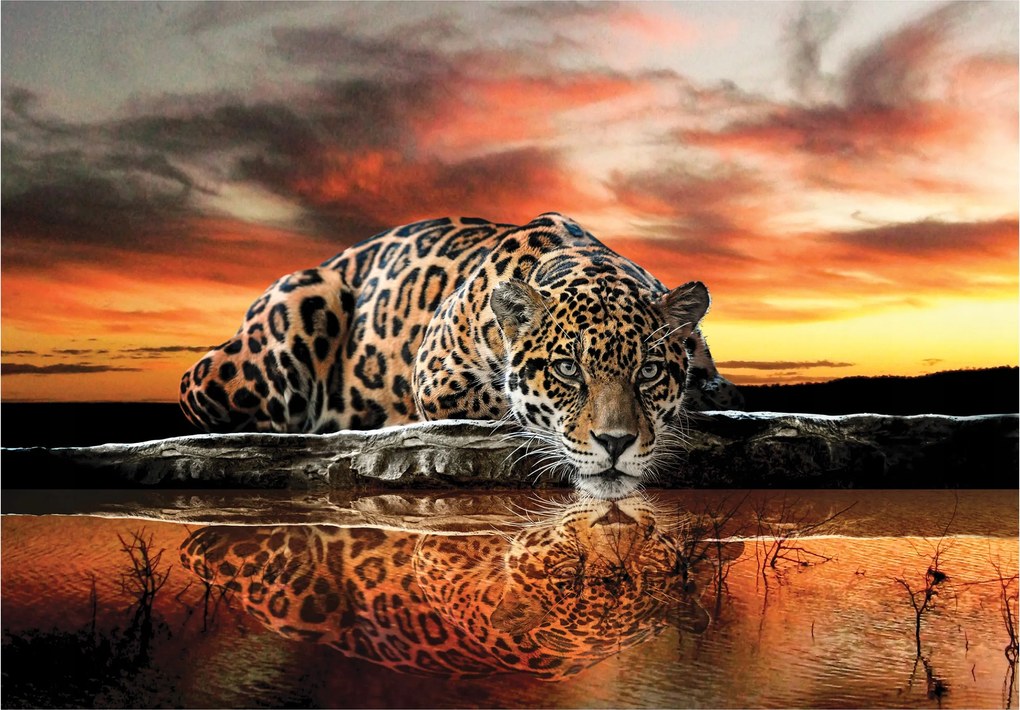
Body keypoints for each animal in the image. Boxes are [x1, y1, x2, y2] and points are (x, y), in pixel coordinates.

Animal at [179, 213, 743, 499]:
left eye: (648, 371)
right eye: (567, 369)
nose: (616, 444)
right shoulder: (436, 377)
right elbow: (509, 405)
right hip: (297, 306)